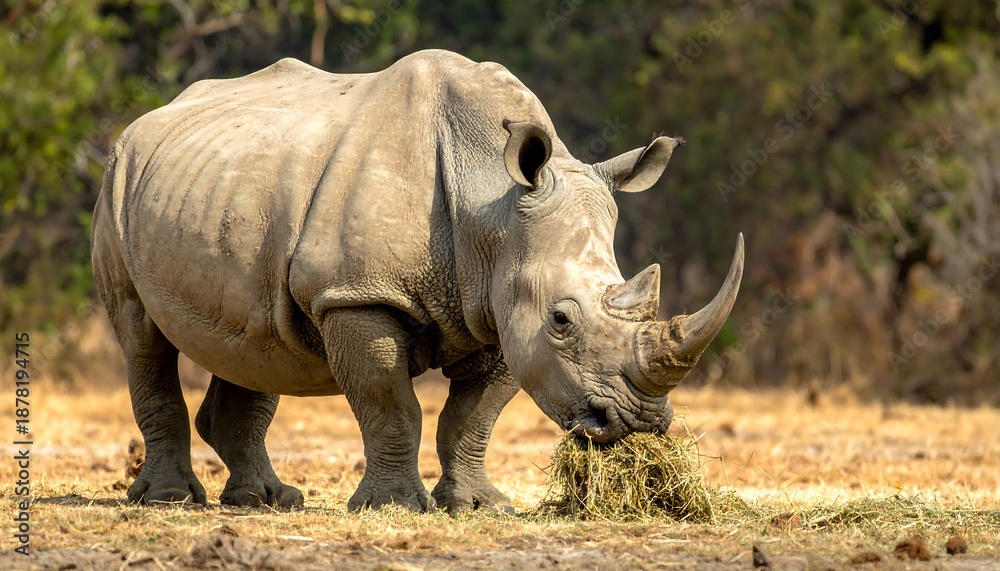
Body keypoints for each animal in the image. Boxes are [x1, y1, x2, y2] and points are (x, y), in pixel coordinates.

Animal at [91, 49, 743, 513]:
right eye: (561, 320)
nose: (638, 423)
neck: (493, 208)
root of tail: (147, 119)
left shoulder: (498, 307)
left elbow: (472, 417)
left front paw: (480, 507)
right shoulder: (357, 295)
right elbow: (391, 403)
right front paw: (393, 508)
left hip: (227, 189)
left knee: (255, 342)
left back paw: (265, 501)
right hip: (119, 177)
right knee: (140, 332)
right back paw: (170, 500)